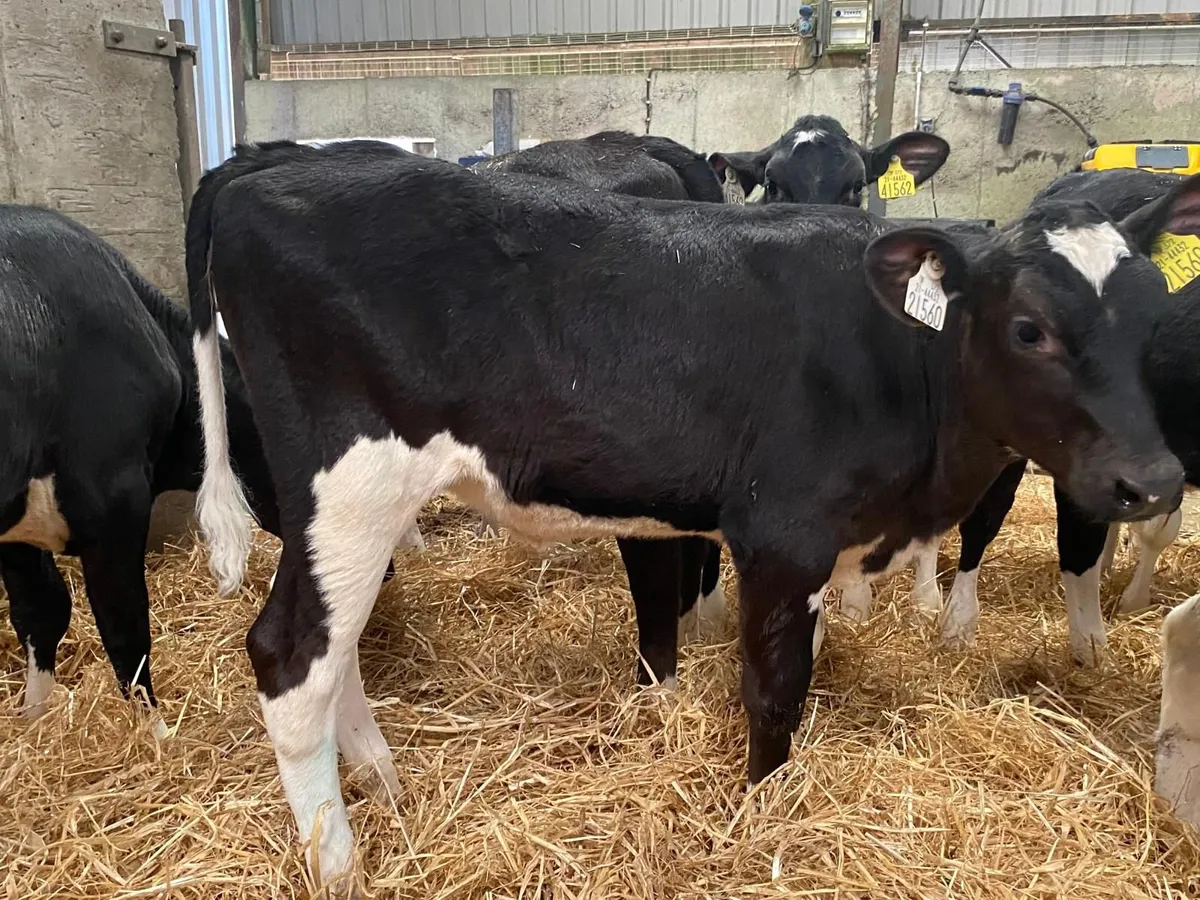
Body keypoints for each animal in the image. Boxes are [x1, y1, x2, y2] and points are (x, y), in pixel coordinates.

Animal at [0, 205, 282, 729]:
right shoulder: (114, 501)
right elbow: (125, 628)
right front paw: (155, 730)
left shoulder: (19, 527)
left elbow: (40, 611)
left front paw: (34, 719)